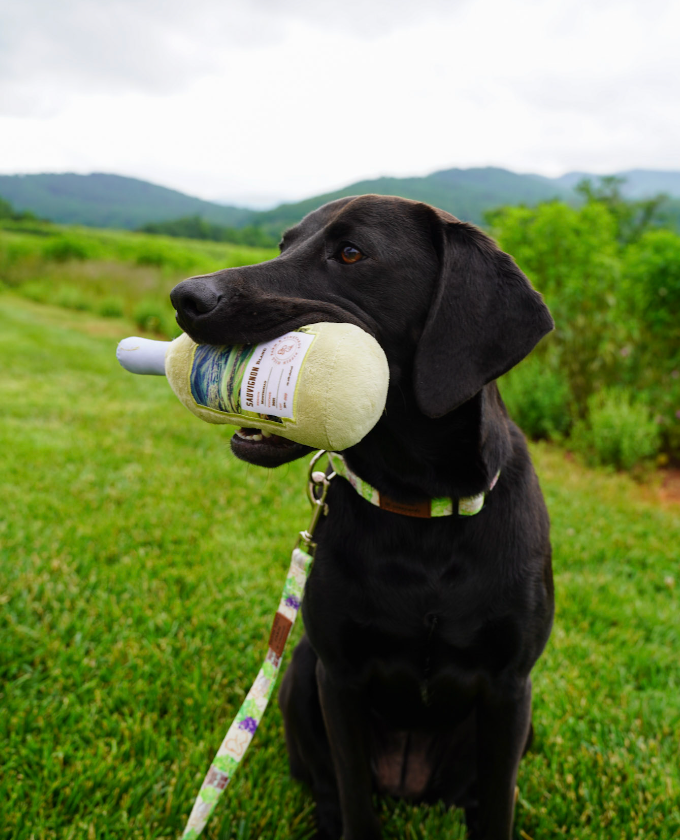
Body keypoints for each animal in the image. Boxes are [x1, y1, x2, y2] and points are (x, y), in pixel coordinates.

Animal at [170, 199, 552, 840]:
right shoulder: (338, 677)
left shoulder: (509, 687)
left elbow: (498, 806)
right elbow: (352, 794)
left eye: (351, 253)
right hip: (299, 672)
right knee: (327, 787)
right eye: (284, 244)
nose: (185, 296)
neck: (419, 508)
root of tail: (408, 781)